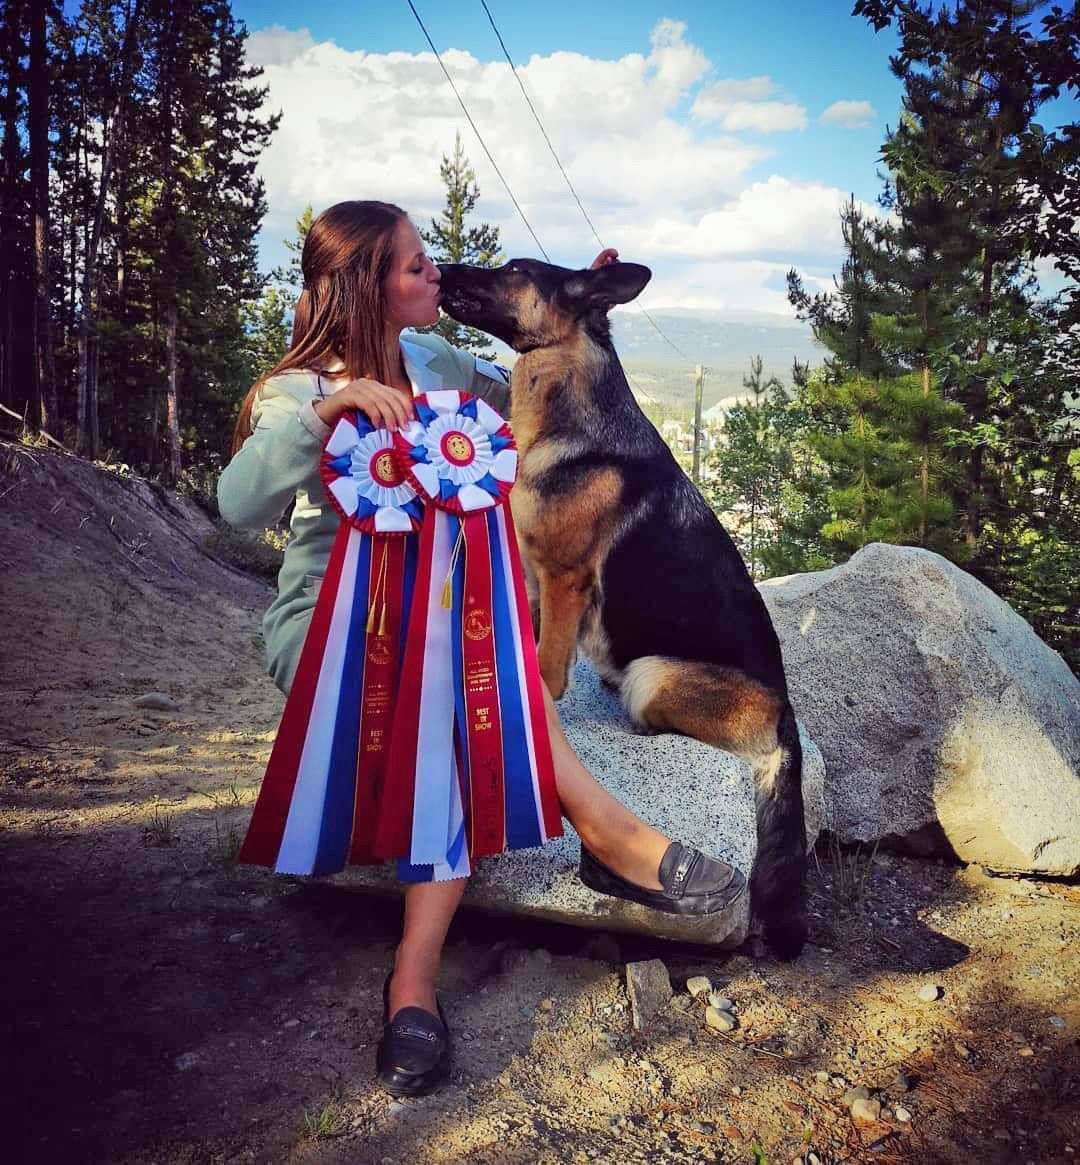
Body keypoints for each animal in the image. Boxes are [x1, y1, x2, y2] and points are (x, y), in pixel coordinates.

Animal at [438, 255, 801, 955]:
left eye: (515, 268)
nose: (437, 267)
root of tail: (785, 716)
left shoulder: (562, 579)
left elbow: (547, 665)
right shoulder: (530, 577)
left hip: (652, 676)